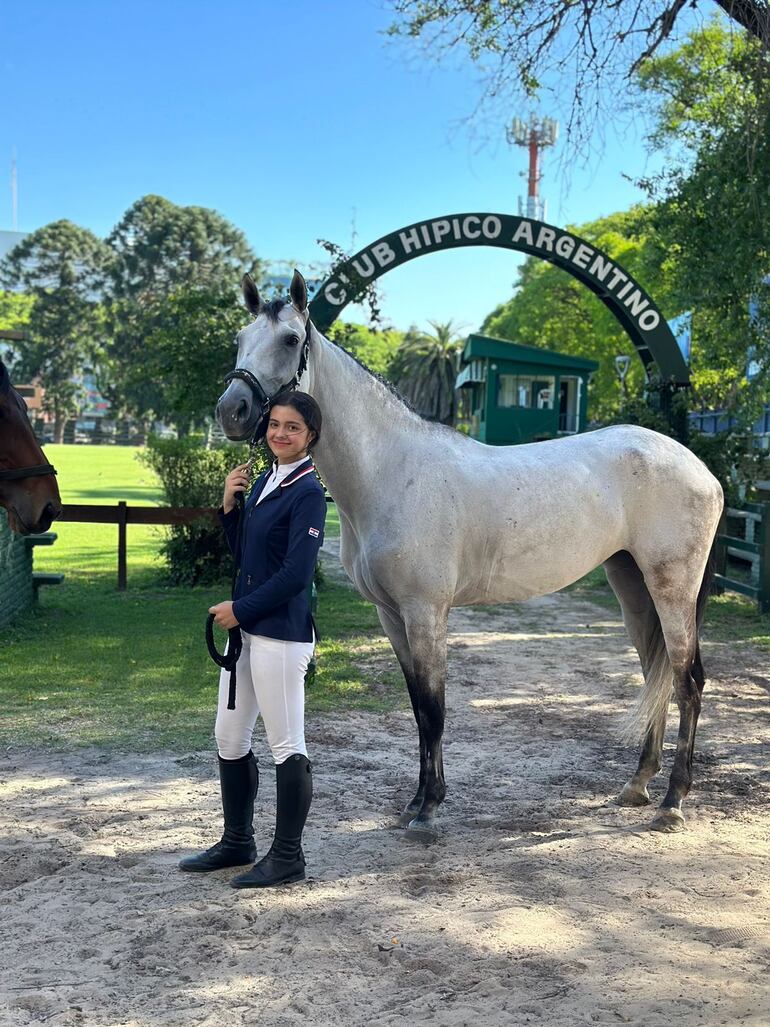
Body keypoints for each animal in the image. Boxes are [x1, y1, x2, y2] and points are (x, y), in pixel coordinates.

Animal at [218, 275, 730, 842]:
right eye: (240, 338)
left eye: (290, 339)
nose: (231, 411)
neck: (392, 471)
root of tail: (700, 468)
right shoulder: (391, 616)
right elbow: (418, 708)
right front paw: (414, 803)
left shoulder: (425, 613)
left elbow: (434, 708)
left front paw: (429, 810)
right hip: (632, 588)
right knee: (654, 677)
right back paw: (637, 786)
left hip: (672, 589)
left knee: (687, 682)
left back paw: (672, 802)